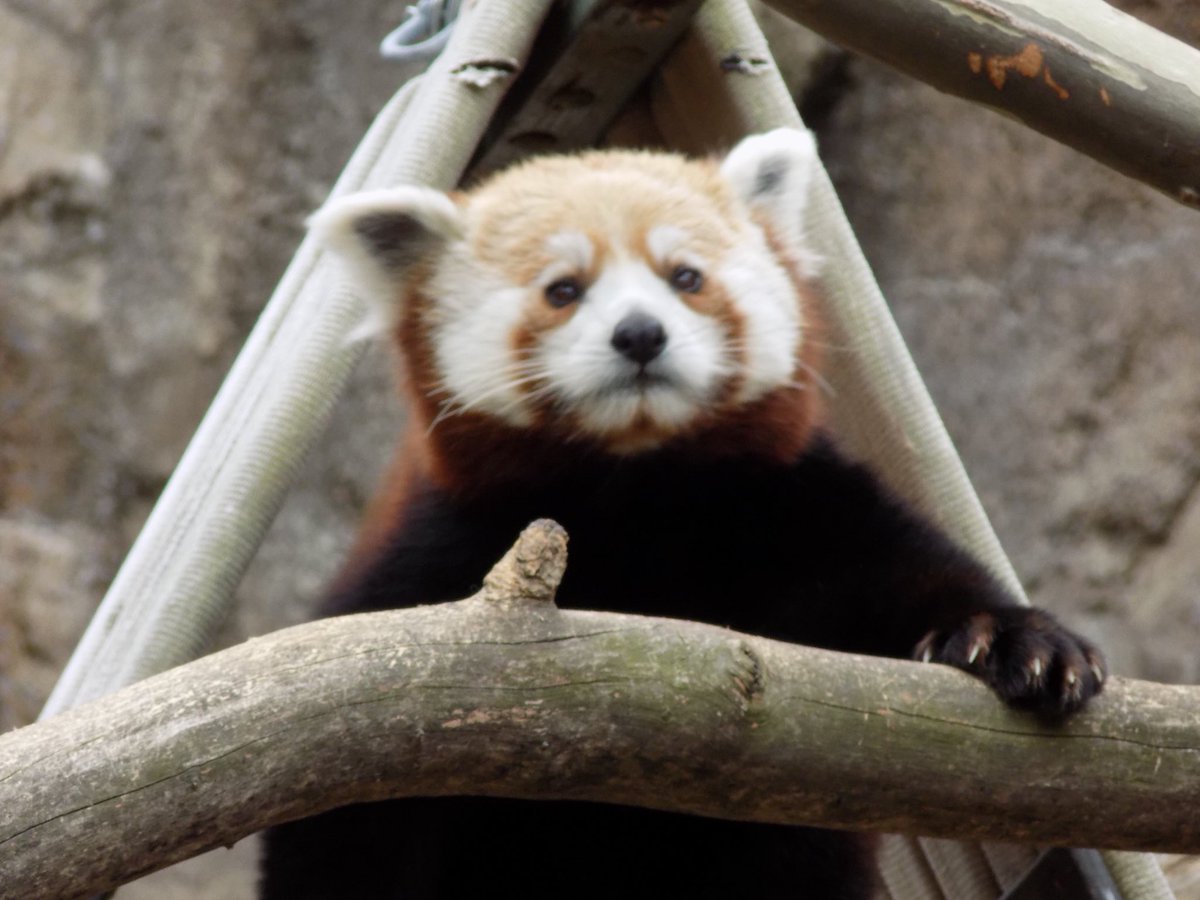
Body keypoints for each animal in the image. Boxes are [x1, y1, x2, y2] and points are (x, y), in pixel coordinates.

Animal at [259, 129, 1104, 899]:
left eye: (686, 277)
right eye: (563, 289)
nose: (640, 333)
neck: (642, 492)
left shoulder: (798, 506)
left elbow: (906, 571)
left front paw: (1013, 639)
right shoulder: (441, 546)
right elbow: (350, 804)